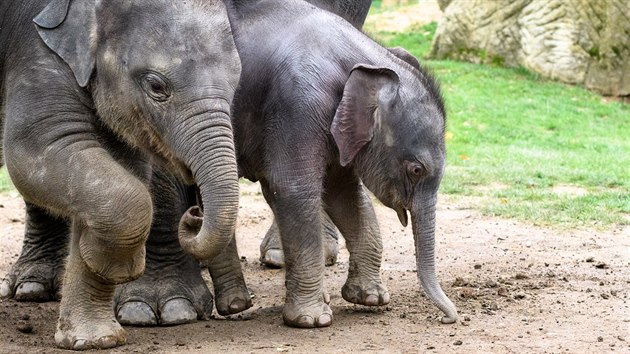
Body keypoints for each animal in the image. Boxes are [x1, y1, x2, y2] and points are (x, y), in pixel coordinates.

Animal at [0, 0, 244, 348]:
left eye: (237, 83)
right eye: (156, 86)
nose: (195, 213)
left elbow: (122, 169)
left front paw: (95, 339)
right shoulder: (35, 45)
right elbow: (36, 146)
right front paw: (113, 264)